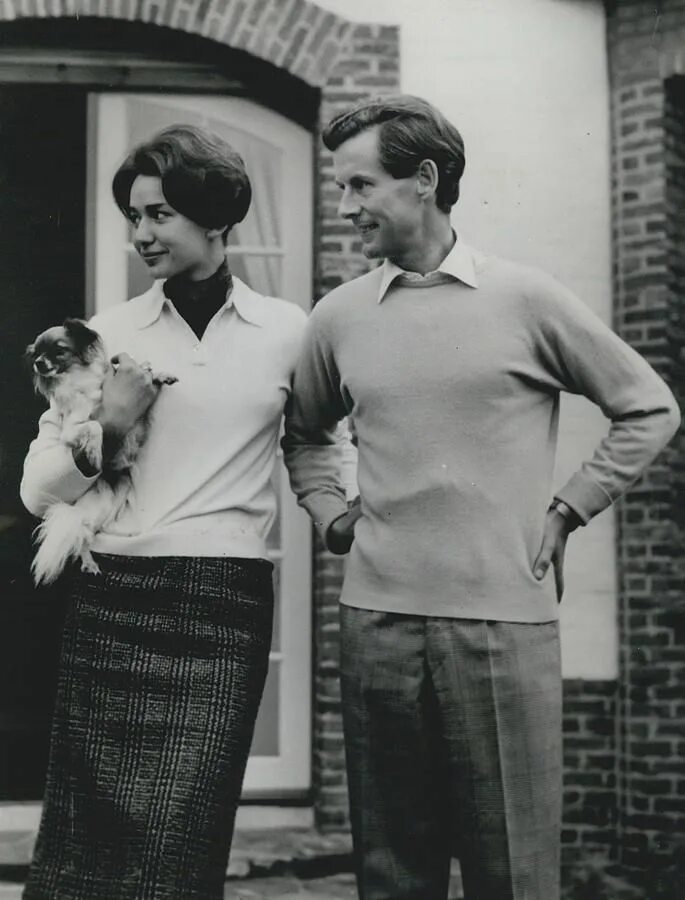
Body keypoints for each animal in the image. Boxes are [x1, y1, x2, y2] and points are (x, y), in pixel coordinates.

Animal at [25, 316, 176, 584]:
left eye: (59, 350)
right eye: (37, 354)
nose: (38, 363)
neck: (78, 380)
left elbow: (146, 370)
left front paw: (160, 373)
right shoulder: (71, 430)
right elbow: (95, 425)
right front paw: (95, 452)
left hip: (112, 500)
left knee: (90, 531)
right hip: (94, 508)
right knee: (83, 536)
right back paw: (89, 563)